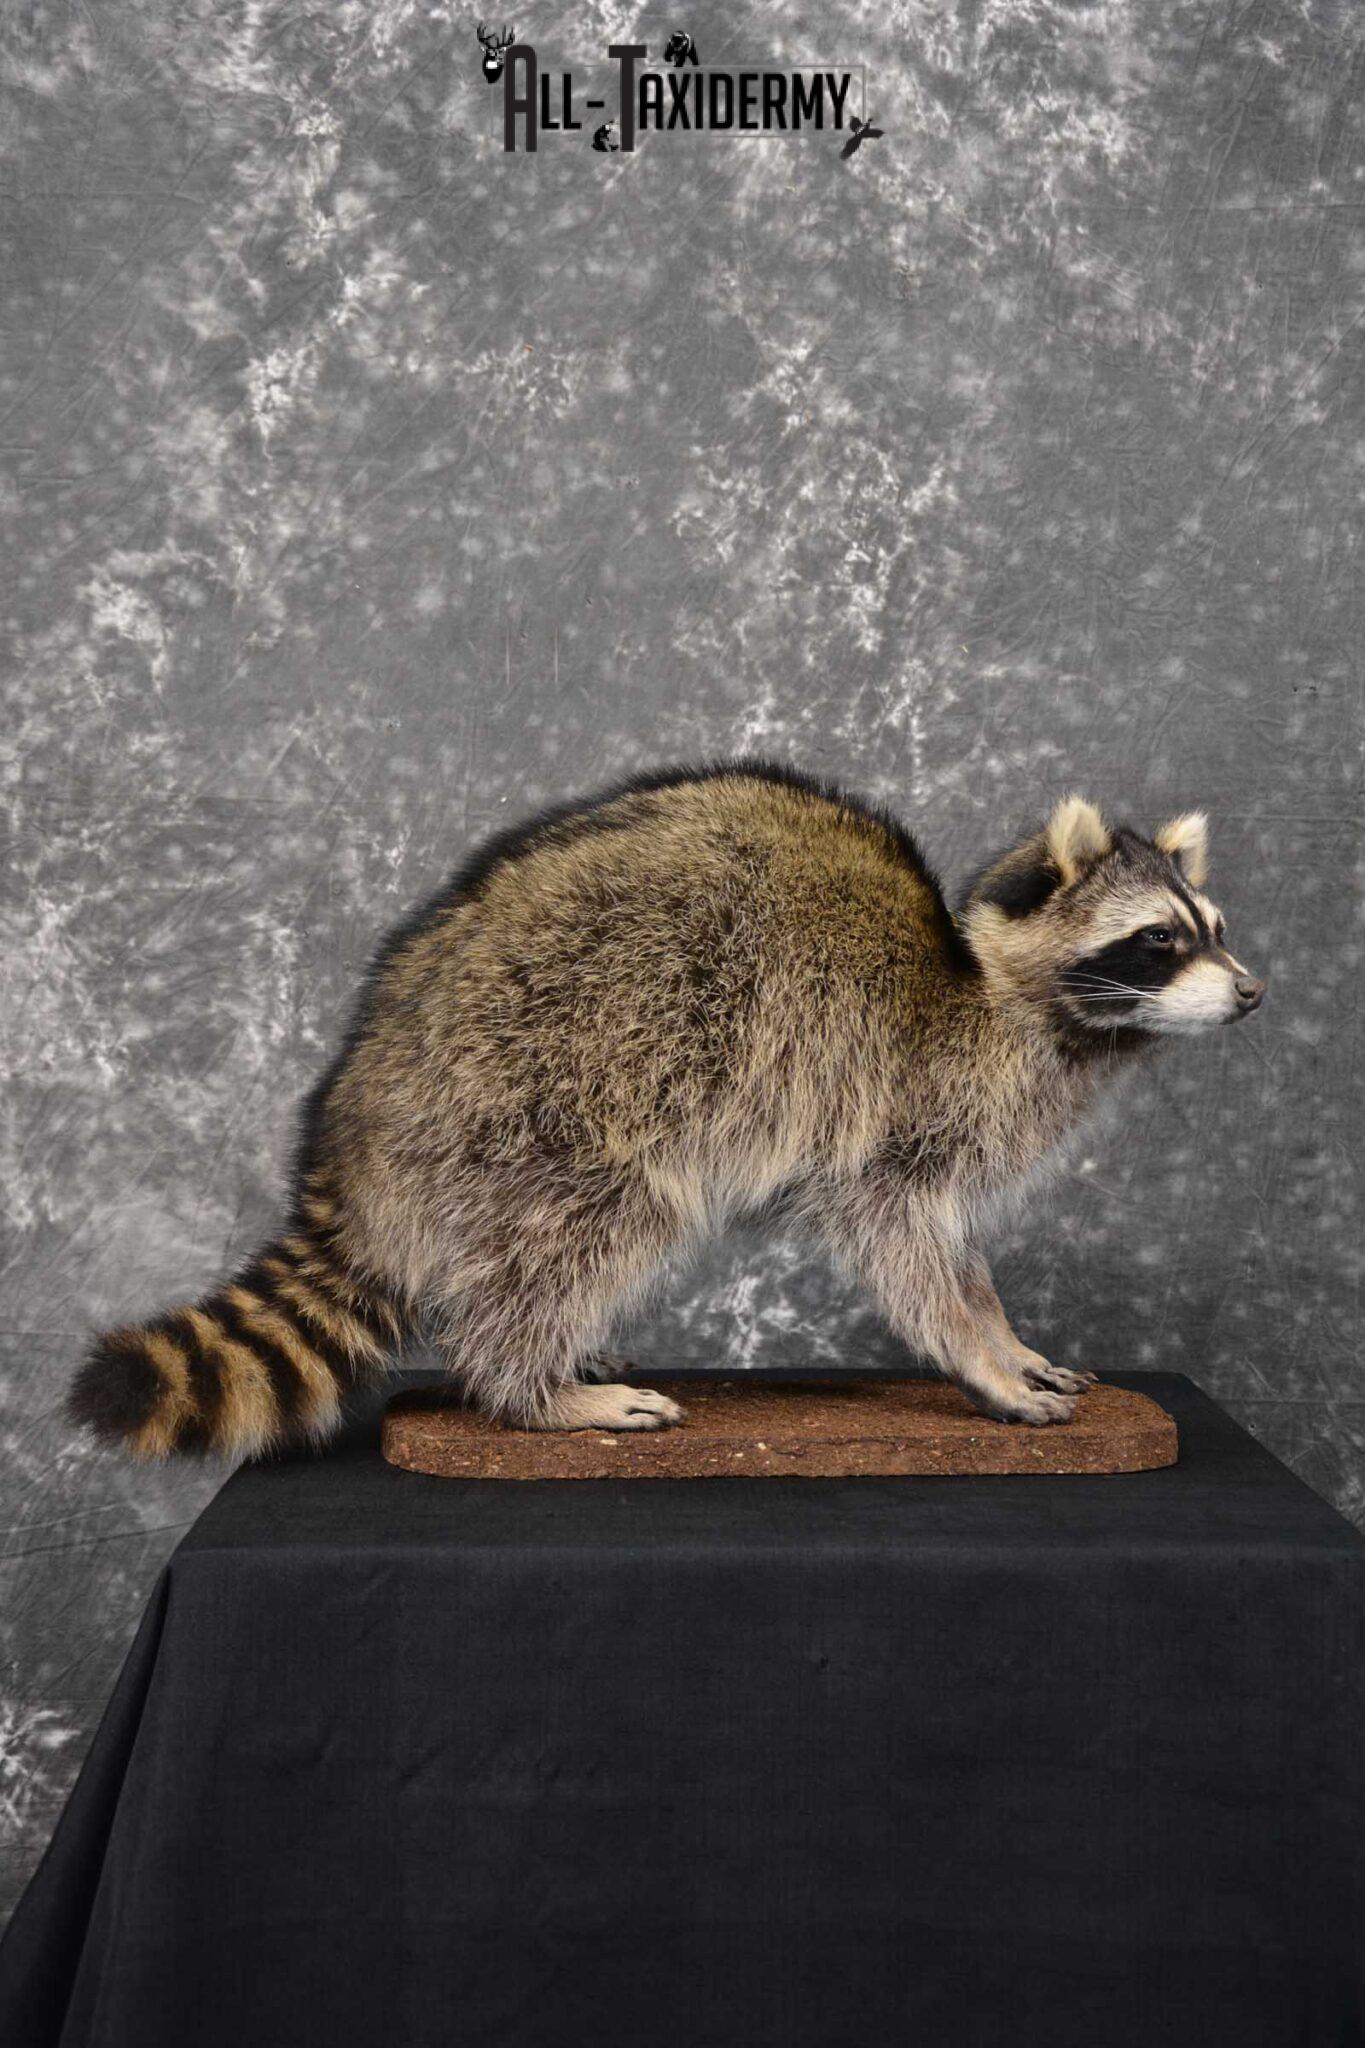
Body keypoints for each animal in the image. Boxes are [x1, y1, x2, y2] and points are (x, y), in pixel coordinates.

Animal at [69, 760, 1264, 1458]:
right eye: (1160, 939)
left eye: (1214, 927)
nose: (1252, 992)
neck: (1020, 999)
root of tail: (356, 1117)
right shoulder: (895, 1103)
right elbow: (902, 1239)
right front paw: (980, 1355)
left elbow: (955, 1246)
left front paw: (1006, 1333)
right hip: (532, 1094)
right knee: (602, 1220)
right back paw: (525, 1385)